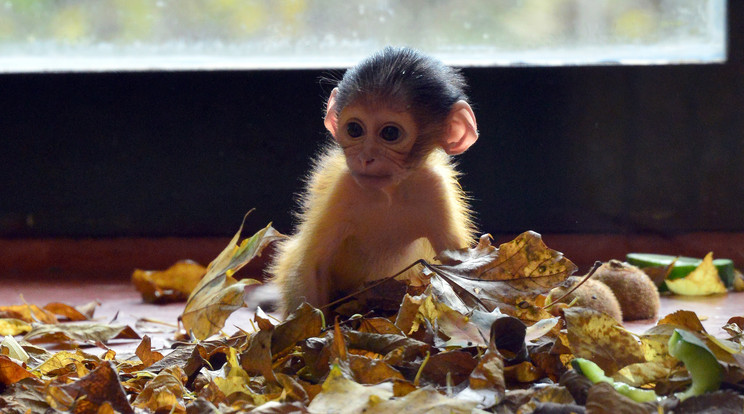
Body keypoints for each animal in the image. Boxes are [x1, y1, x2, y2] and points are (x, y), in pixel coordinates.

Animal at [270, 47, 480, 316]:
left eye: (390, 133)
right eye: (354, 129)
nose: (365, 157)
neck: (388, 193)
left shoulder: (435, 188)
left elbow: (456, 266)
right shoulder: (344, 187)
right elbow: (312, 265)